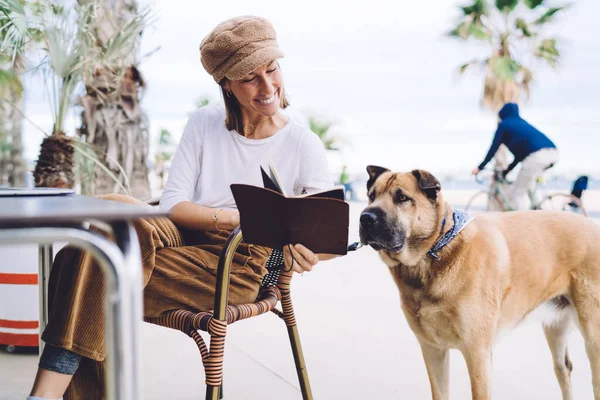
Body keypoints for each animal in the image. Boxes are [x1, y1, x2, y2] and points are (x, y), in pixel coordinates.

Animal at [358, 164, 600, 398]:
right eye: (372, 195)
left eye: (402, 198)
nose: (365, 218)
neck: (437, 248)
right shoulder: (432, 350)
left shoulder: (477, 353)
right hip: (556, 327)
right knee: (563, 368)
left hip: (593, 336)